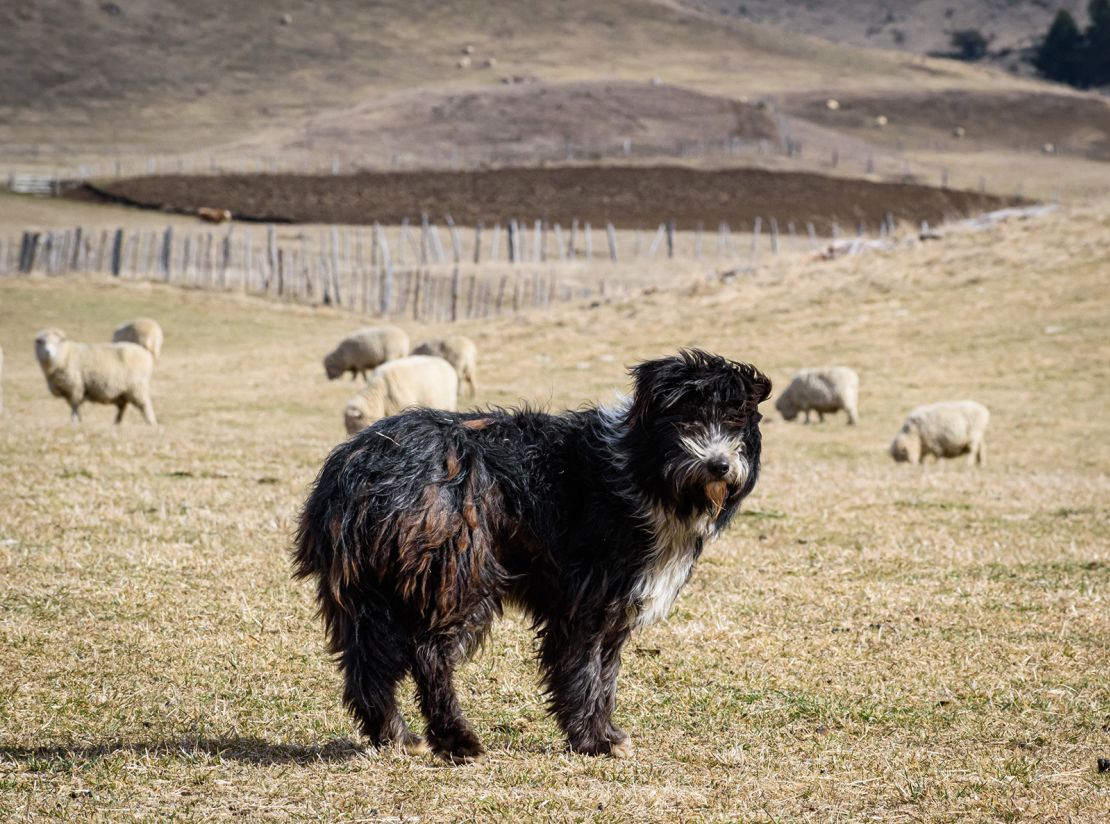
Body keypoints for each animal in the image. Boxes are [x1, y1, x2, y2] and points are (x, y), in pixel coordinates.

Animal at [295, 346, 772, 759]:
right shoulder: (587, 599)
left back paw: (395, 736)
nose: (719, 465)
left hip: (367, 588)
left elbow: (606, 673)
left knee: (366, 665)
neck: (643, 473)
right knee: (430, 656)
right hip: (458, 574)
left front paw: (604, 733)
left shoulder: (615, 605)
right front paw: (594, 739)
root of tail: (358, 468)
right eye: (688, 420)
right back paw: (456, 739)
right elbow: (584, 670)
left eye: (735, 421)